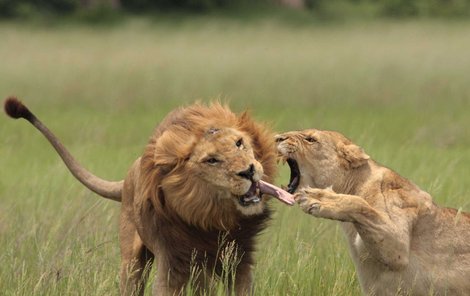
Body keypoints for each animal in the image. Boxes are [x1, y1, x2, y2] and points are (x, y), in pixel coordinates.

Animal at [4, 98, 294, 294]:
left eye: (239, 143)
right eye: (212, 160)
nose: (249, 171)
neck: (212, 218)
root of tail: (128, 176)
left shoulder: (238, 261)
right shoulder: (172, 260)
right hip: (132, 262)